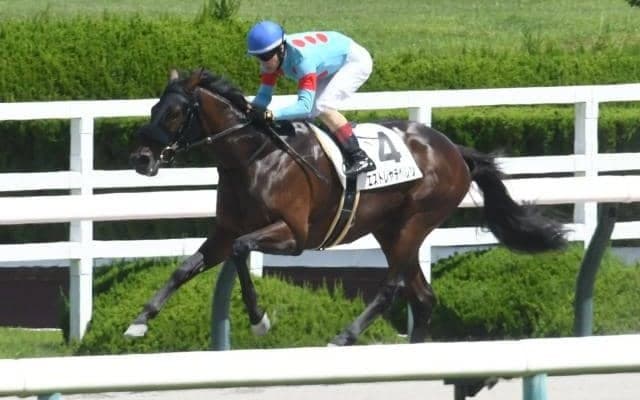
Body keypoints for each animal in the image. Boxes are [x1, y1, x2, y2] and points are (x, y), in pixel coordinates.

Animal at [126, 68, 567, 345]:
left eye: (176, 112)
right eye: (152, 108)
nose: (142, 159)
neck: (256, 156)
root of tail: (454, 150)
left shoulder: (294, 235)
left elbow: (240, 251)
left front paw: (259, 320)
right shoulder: (225, 230)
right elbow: (185, 267)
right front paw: (139, 321)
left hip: (416, 221)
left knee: (391, 289)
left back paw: (345, 336)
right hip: (391, 229)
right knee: (423, 297)